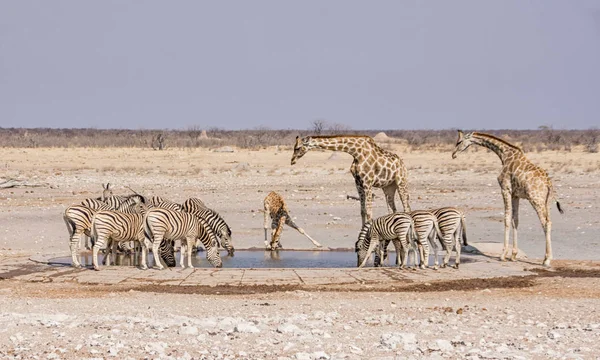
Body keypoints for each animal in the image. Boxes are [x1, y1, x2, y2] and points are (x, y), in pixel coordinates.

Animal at [452, 131, 564, 266]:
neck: (504, 154)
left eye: (459, 142)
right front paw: (513, 255)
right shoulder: (515, 195)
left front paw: (503, 255)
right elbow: (515, 220)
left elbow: (506, 218)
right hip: (546, 201)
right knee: (549, 222)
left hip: (536, 199)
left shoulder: (505, 189)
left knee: (546, 223)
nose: (453, 155)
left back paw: (547, 260)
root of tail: (548, 183)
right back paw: (545, 258)